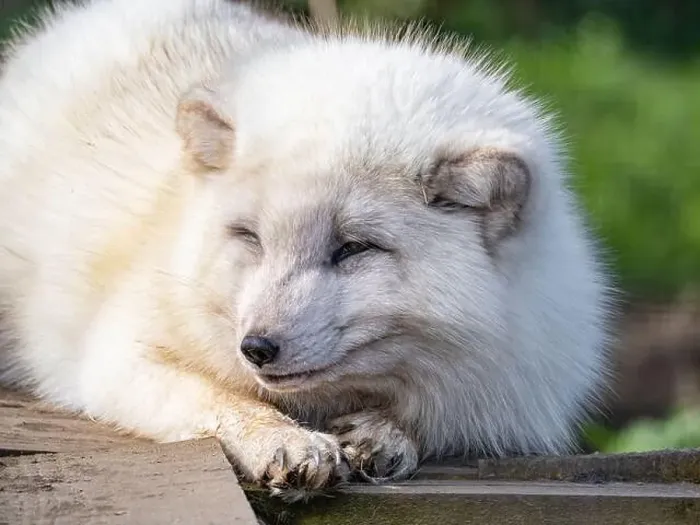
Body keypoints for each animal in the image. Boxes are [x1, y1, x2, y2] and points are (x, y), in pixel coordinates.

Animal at [0, 0, 613, 501]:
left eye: (354, 248)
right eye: (250, 237)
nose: (256, 348)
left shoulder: (522, 381)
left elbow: (447, 415)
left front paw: (385, 435)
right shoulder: (120, 352)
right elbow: (223, 402)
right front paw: (285, 442)